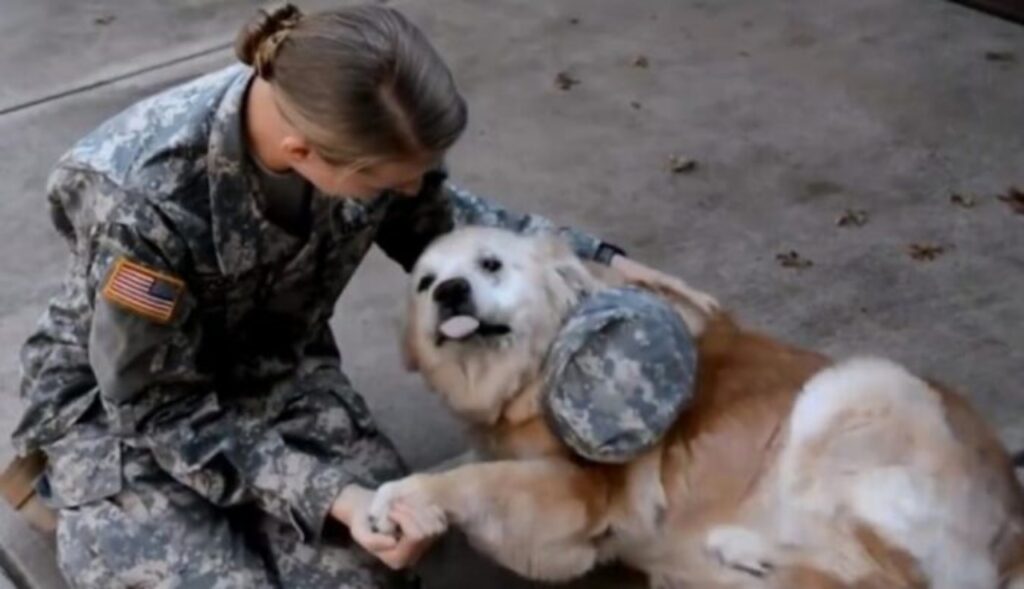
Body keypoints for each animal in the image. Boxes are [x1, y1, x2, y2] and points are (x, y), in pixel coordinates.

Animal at [372, 227, 1024, 589]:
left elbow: (475, 481)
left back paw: (735, 553)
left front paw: (402, 501)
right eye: (426, 282)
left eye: (490, 264)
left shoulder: (580, 503)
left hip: (851, 389)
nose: (450, 292)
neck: (529, 372)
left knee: (881, 580)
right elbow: (463, 464)